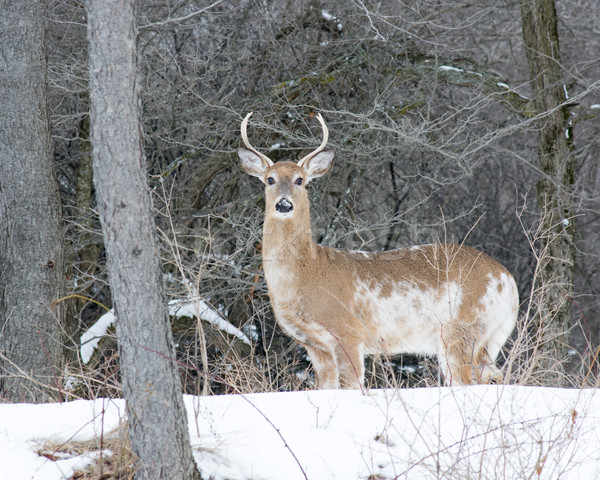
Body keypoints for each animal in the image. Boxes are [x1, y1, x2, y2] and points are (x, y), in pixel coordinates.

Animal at [237, 112, 516, 390]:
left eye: (300, 180)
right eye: (270, 179)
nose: (284, 204)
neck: (307, 271)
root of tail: (507, 280)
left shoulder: (348, 331)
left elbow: (352, 385)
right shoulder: (314, 345)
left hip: (461, 328)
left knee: (468, 380)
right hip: (485, 338)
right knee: (494, 375)